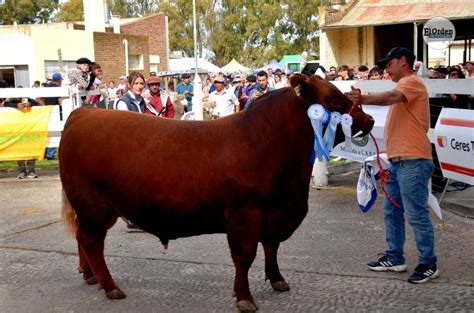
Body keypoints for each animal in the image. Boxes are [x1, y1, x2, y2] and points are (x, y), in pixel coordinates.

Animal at [60, 74, 374, 310]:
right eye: (334, 100)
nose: (369, 120)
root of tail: (84, 112)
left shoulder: (274, 213)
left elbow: (271, 247)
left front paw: (277, 279)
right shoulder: (245, 214)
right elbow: (245, 256)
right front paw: (244, 297)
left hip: (95, 209)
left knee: (81, 238)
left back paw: (90, 276)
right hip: (92, 205)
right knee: (91, 242)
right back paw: (110, 286)